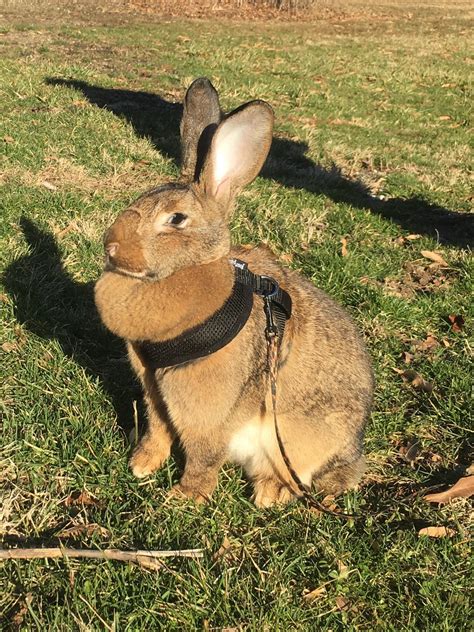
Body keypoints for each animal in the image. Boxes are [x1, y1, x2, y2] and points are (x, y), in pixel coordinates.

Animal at [93, 76, 374, 506]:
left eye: (176, 219)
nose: (111, 245)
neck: (189, 271)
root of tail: (350, 453)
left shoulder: (207, 408)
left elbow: (204, 454)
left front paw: (184, 497)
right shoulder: (155, 392)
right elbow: (157, 429)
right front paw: (142, 465)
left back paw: (269, 493)